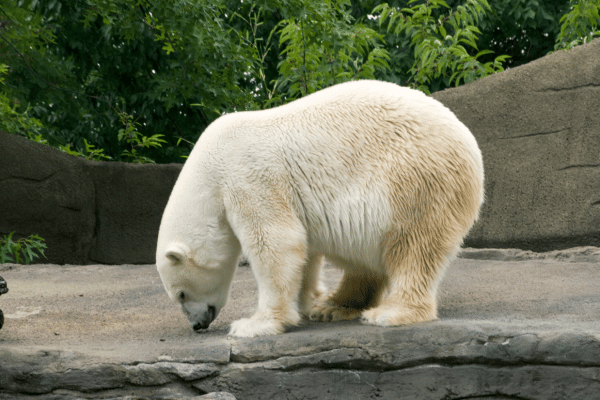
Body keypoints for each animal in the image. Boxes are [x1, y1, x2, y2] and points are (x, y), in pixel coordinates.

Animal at [155, 80, 482, 338]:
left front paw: (253, 325)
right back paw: (333, 306)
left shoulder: (249, 176)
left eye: (180, 293)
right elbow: (304, 248)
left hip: (414, 182)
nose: (197, 324)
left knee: (413, 247)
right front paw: (304, 301)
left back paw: (389, 313)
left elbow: (276, 242)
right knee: (364, 257)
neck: (209, 171)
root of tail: (469, 143)